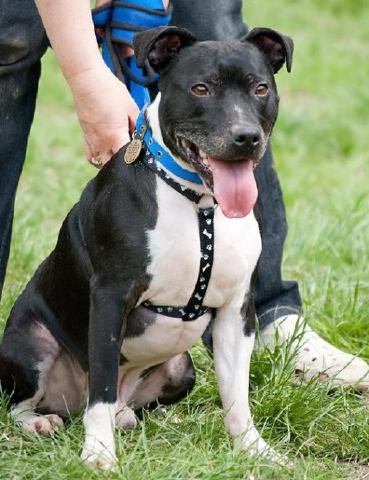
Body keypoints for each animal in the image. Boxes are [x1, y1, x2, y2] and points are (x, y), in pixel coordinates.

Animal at [0, 26, 294, 468]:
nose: (246, 137)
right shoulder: (110, 299)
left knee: (128, 403)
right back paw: (40, 422)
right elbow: (101, 392)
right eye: (201, 88)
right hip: (31, 344)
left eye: (261, 88)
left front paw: (255, 450)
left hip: (182, 369)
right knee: (24, 402)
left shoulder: (235, 310)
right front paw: (98, 453)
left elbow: (237, 396)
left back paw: (133, 418)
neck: (198, 203)